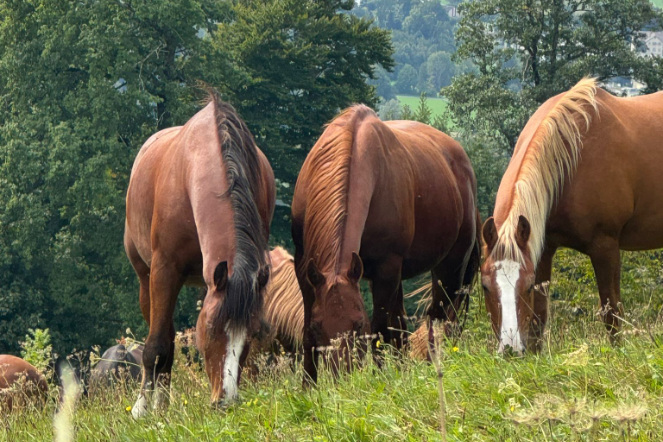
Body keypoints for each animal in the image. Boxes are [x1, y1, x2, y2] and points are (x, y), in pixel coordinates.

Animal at [124, 93, 275, 416]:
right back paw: (155, 403)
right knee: (161, 340)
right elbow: (156, 346)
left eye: (252, 333)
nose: (226, 400)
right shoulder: (164, 270)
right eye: (210, 328)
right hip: (146, 279)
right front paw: (142, 409)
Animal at [291, 105, 480, 383]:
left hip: (451, 268)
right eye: (319, 326)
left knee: (441, 317)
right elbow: (307, 333)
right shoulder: (305, 267)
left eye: (359, 324)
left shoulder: (386, 268)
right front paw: (308, 385)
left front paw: (381, 379)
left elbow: (380, 329)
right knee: (404, 324)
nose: (342, 380)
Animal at [480, 78, 663, 354]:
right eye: (485, 286)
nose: (510, 350)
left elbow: (612, 313)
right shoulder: (542, 250)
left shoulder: (605, 247)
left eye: (526, 286)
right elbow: (539, 318)